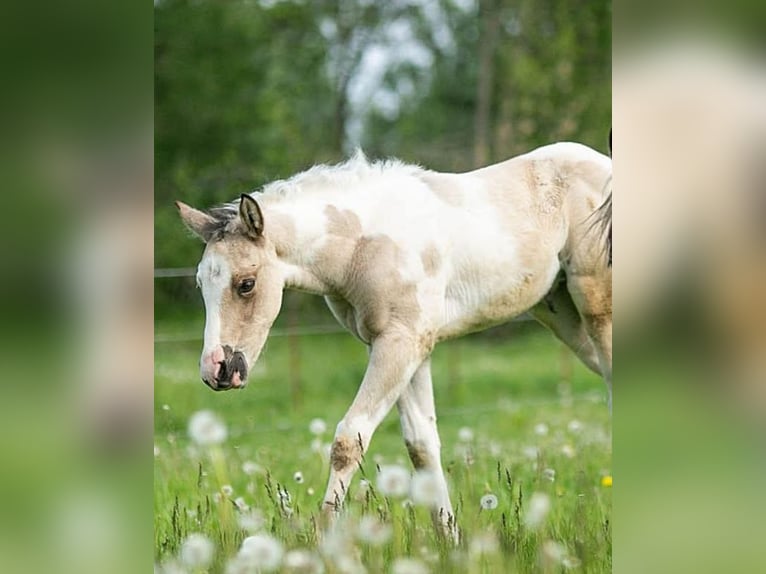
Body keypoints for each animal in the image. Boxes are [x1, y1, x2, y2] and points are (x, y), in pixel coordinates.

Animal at [176, 141, 612, 539]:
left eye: (246, 284)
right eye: (200, 284)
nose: (217, 369)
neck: (362, 243)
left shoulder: (400, 344)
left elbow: (349, 440)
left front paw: (324, 543)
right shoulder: (402, 348)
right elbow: (421, 445)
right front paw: (449, 543)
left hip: (595, 307)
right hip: (563, 316)